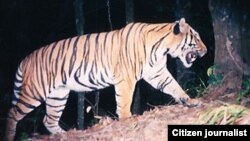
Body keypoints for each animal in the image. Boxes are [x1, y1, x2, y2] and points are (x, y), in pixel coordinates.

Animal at [5, 18, 207, 140]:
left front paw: (190, 101)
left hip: (58, 95)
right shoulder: (126, 79)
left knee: (49, 119)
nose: (205, 51)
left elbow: (174, 86)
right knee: (12, 113)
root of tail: (25, 58)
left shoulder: (157, 73)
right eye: (196, 37)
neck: (162, 48)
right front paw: (127, 120)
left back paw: (66, 134)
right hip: (35, 92)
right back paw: (8, 135)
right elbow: (124, 102)